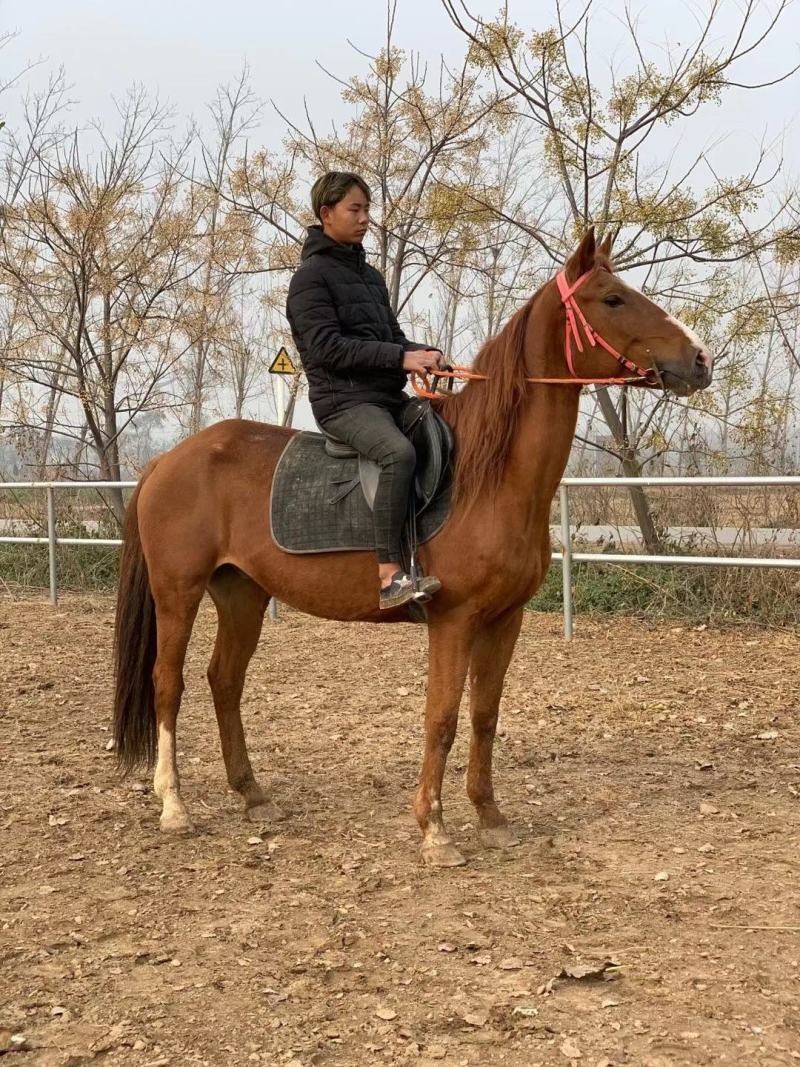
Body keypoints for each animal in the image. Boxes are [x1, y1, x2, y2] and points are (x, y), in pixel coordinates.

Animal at [112, 229, 713, 868]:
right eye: (613, 298)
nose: (700, 359)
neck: (488, 477)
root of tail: (168, 460)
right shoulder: (454, 620)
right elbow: (442, 718)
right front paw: (435, 830)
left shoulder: (506, 620)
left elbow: (484, 715)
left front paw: (490, 817)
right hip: (178, 592)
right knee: (167, 683)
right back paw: (174, 806)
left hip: (242, 595)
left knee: (224, 681)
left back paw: (253, 795)